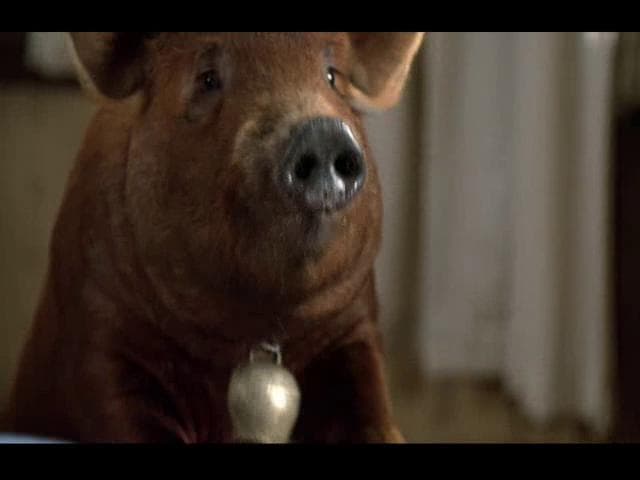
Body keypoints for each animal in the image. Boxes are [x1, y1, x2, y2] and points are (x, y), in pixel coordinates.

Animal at [5, 32, 425, 443]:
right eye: (207, 79)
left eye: (332, 77)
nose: (322, 134)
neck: (256, 336)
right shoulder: (98, 324)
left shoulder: (356, 328)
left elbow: (370, 415)